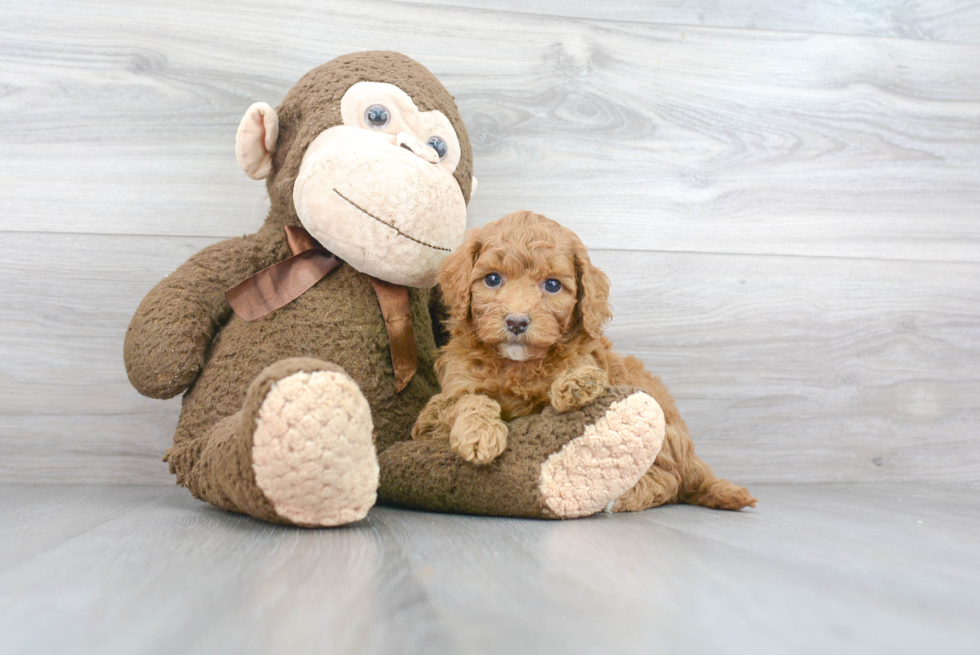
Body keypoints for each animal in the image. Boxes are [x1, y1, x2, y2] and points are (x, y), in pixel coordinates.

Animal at [414, 210, 756, 512]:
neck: (518, 365)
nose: (516, 322)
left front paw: (576, 383)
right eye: (493, 279)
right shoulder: (433, 415)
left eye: (552, 285)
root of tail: (694, 458)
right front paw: (480, 435)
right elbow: (472, 399)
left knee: (670, 480)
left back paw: (624, 497)